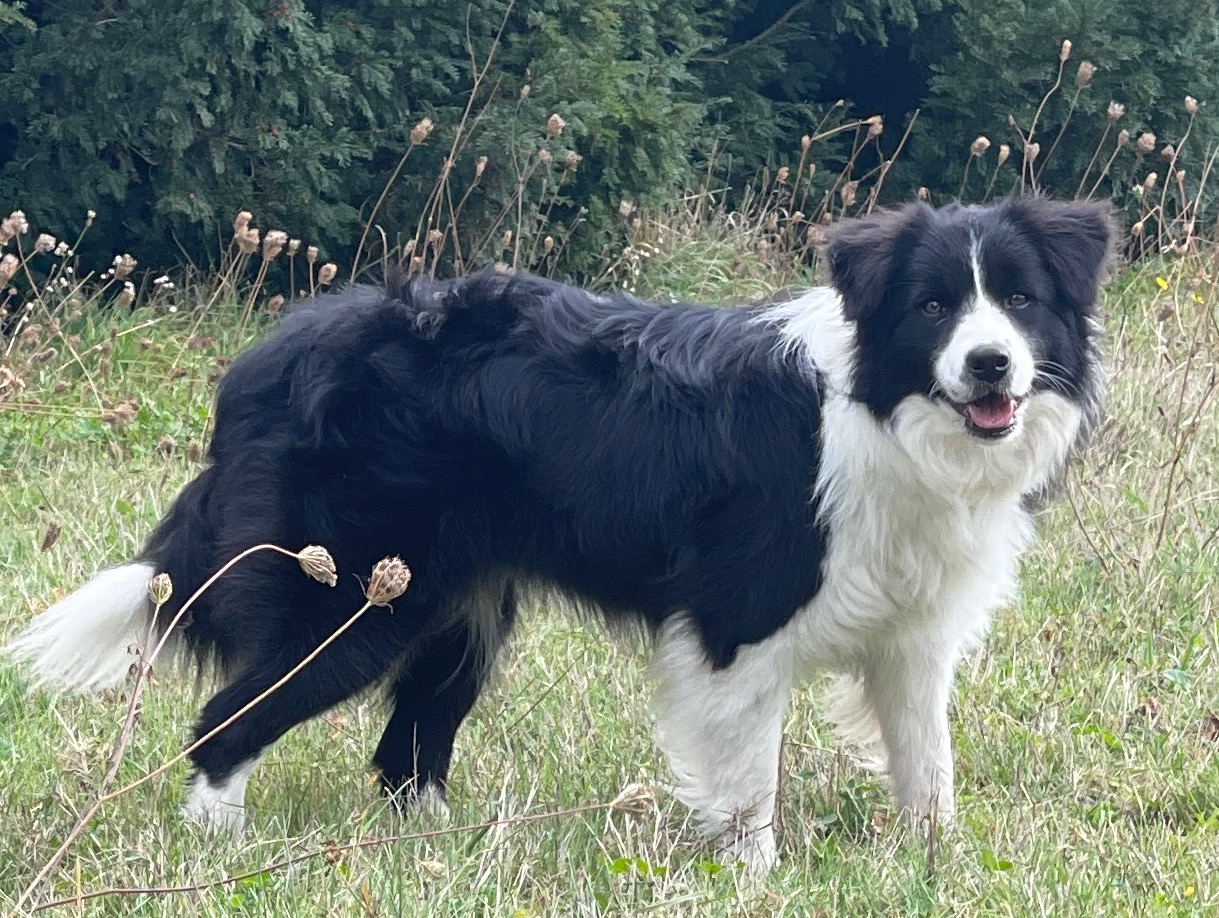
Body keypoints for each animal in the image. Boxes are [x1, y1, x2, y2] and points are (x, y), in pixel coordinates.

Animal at [7, 197, 1116, 868]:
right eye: (931, 307)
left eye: (1020, 301)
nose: (989, 366)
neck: (882, 409)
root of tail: (267, 358)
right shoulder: (738, 628)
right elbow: (747, 783)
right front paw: (754, 875)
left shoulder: (913, 636)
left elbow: (928, 766)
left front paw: (938, 865)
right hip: (355, 598)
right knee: (227, 718)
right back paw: (218, 845)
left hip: (452, 610)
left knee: (406, 752)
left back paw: (440, 852)